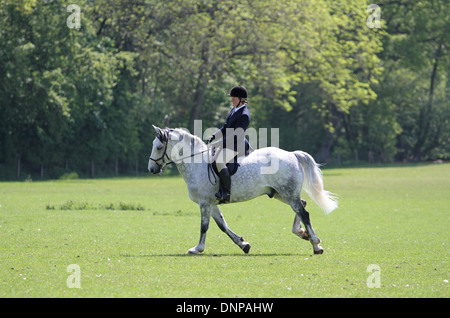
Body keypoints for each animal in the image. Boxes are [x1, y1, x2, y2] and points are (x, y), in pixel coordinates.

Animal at [148, 126, 338, 253]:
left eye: (158, 147)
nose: (151, 169)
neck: (197, 163)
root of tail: (292, 154)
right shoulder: (211, 203)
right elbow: (222, 225)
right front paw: (243, 244)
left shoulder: (204, 203)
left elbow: (204, 226)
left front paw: (198, 248)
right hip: (280, 193)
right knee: (302, 205)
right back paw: (302, 234)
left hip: (288, 193)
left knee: (304, 213)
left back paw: (315, 244)